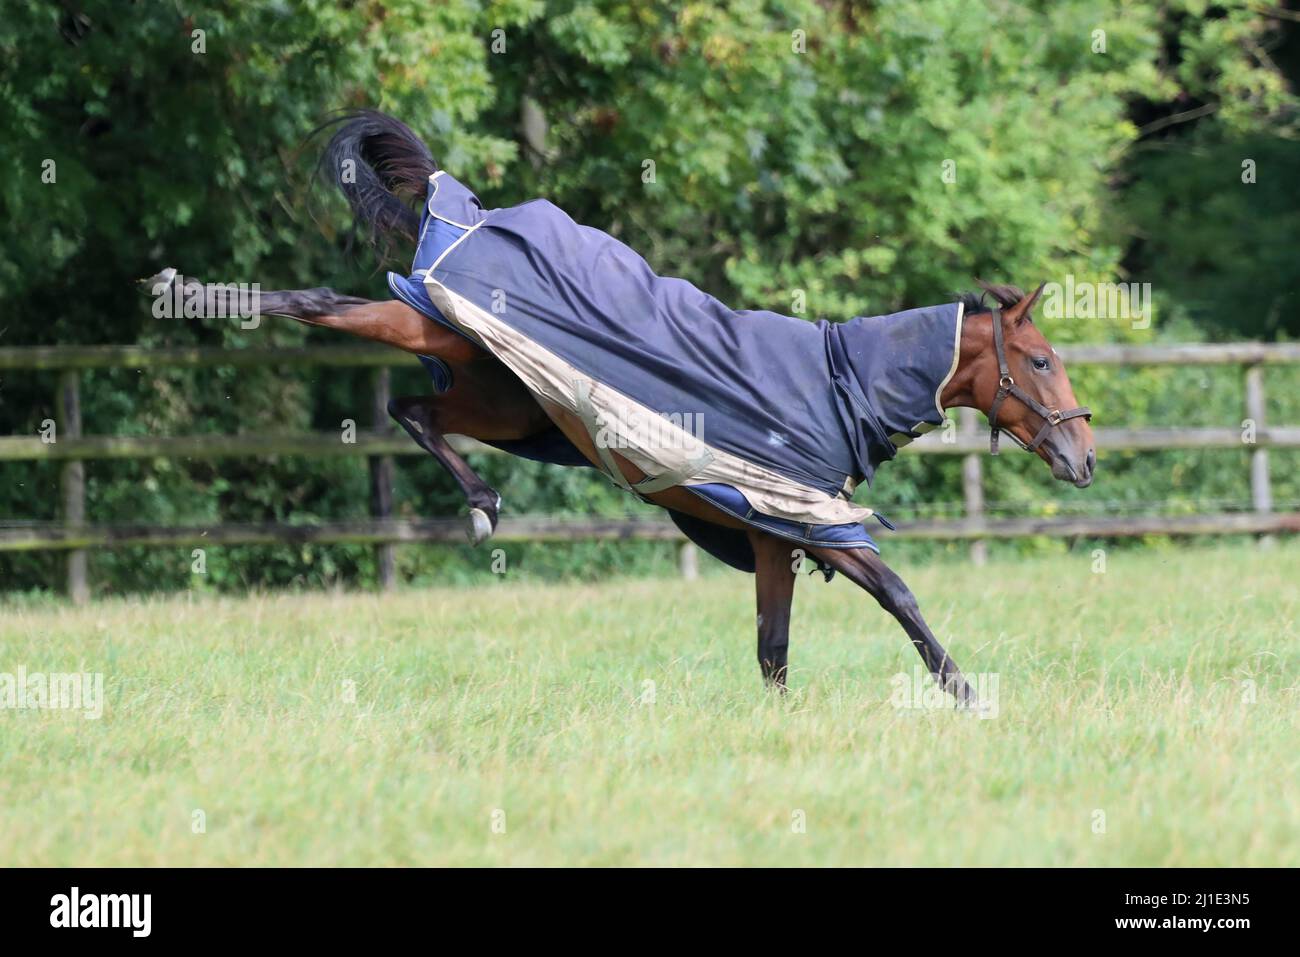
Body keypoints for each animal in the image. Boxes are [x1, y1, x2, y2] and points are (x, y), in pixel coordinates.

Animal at [149, 110, 1094, 706]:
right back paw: (190, 292)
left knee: (415, 410)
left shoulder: (773, 536)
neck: (837, 382)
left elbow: (774, 650)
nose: (1084, 459)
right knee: (323, 305)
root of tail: (475, 212)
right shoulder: (810, 522)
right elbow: (898, 593)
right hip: (430, 325)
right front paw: (967, 694)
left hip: (503, 394)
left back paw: (484, 506)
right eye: (1042, 361)